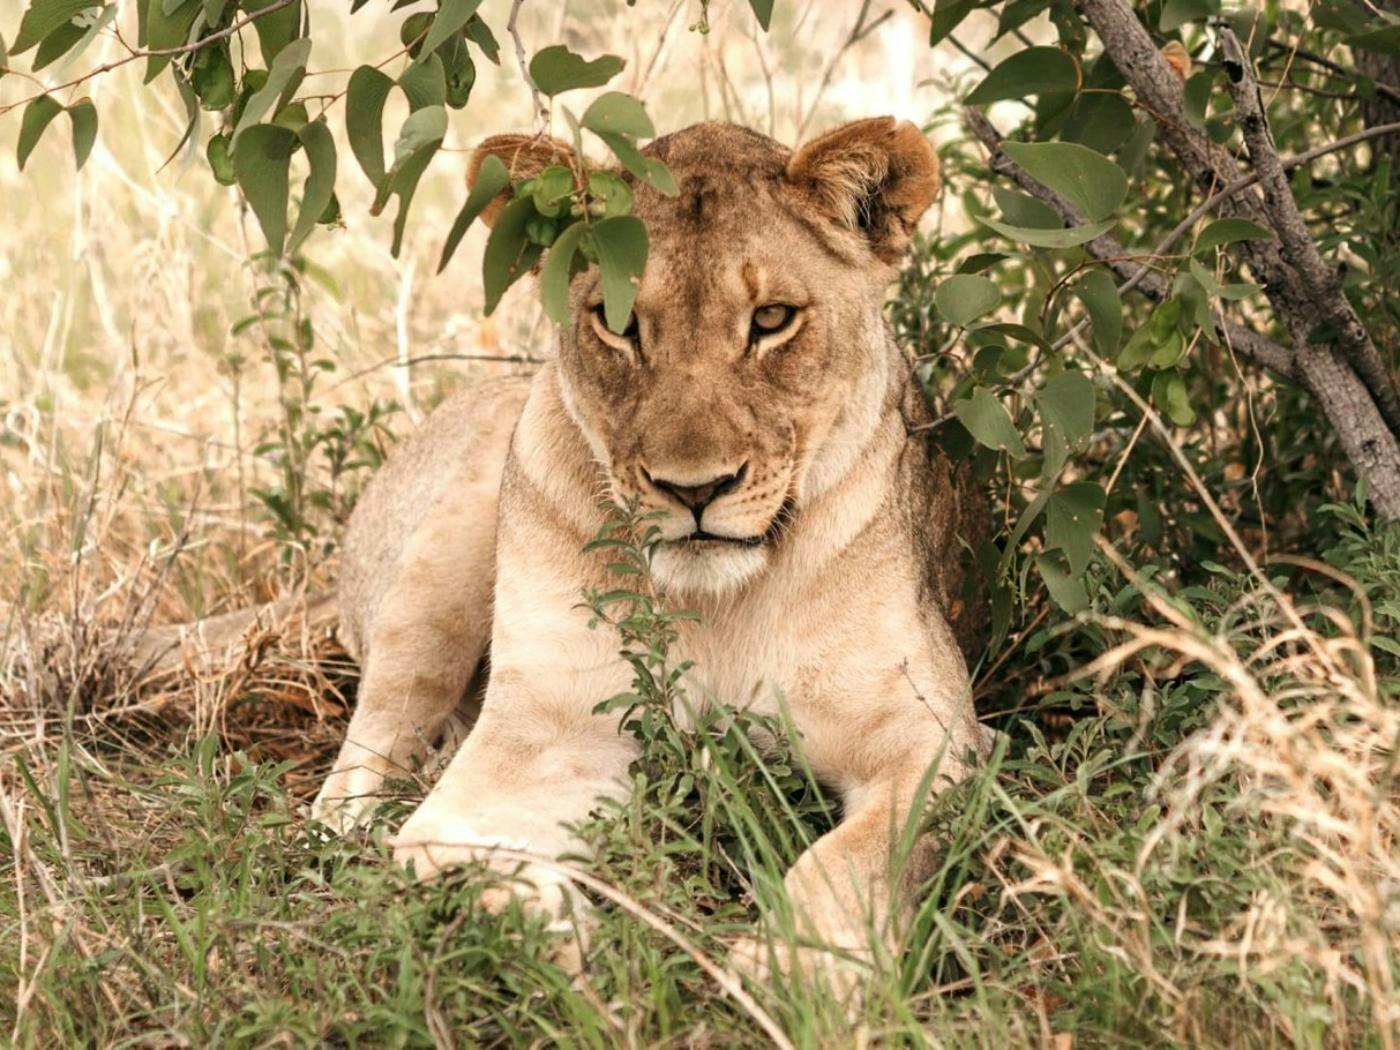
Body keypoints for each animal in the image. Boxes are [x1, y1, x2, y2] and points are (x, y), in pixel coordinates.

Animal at [310, 117, 989, 984]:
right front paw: (557, 945)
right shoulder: (546, 733)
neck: (715, 607)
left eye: (772, 318)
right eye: (618, 321)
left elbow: (859, 859)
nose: (694, 490)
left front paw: (791, 972)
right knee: (353, 780)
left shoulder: (936, 740)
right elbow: (442, 849)